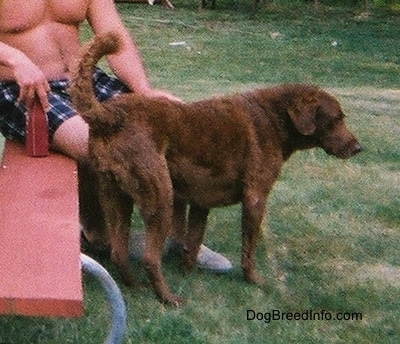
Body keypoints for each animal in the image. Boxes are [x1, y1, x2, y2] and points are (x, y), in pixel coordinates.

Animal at [69, 33, 362, 306]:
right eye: (336, 119)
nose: (358, 148)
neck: (273, 118)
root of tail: (111, 116)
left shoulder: (200, 202)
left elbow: (193, 241)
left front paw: (186, 271)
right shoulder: (255, 198)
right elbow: (248, 249)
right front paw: (254, 281)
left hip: (114, 197)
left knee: (119, 251)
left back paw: (136, 287)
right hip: (160, 197)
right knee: (150, 258)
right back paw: (169, 298)